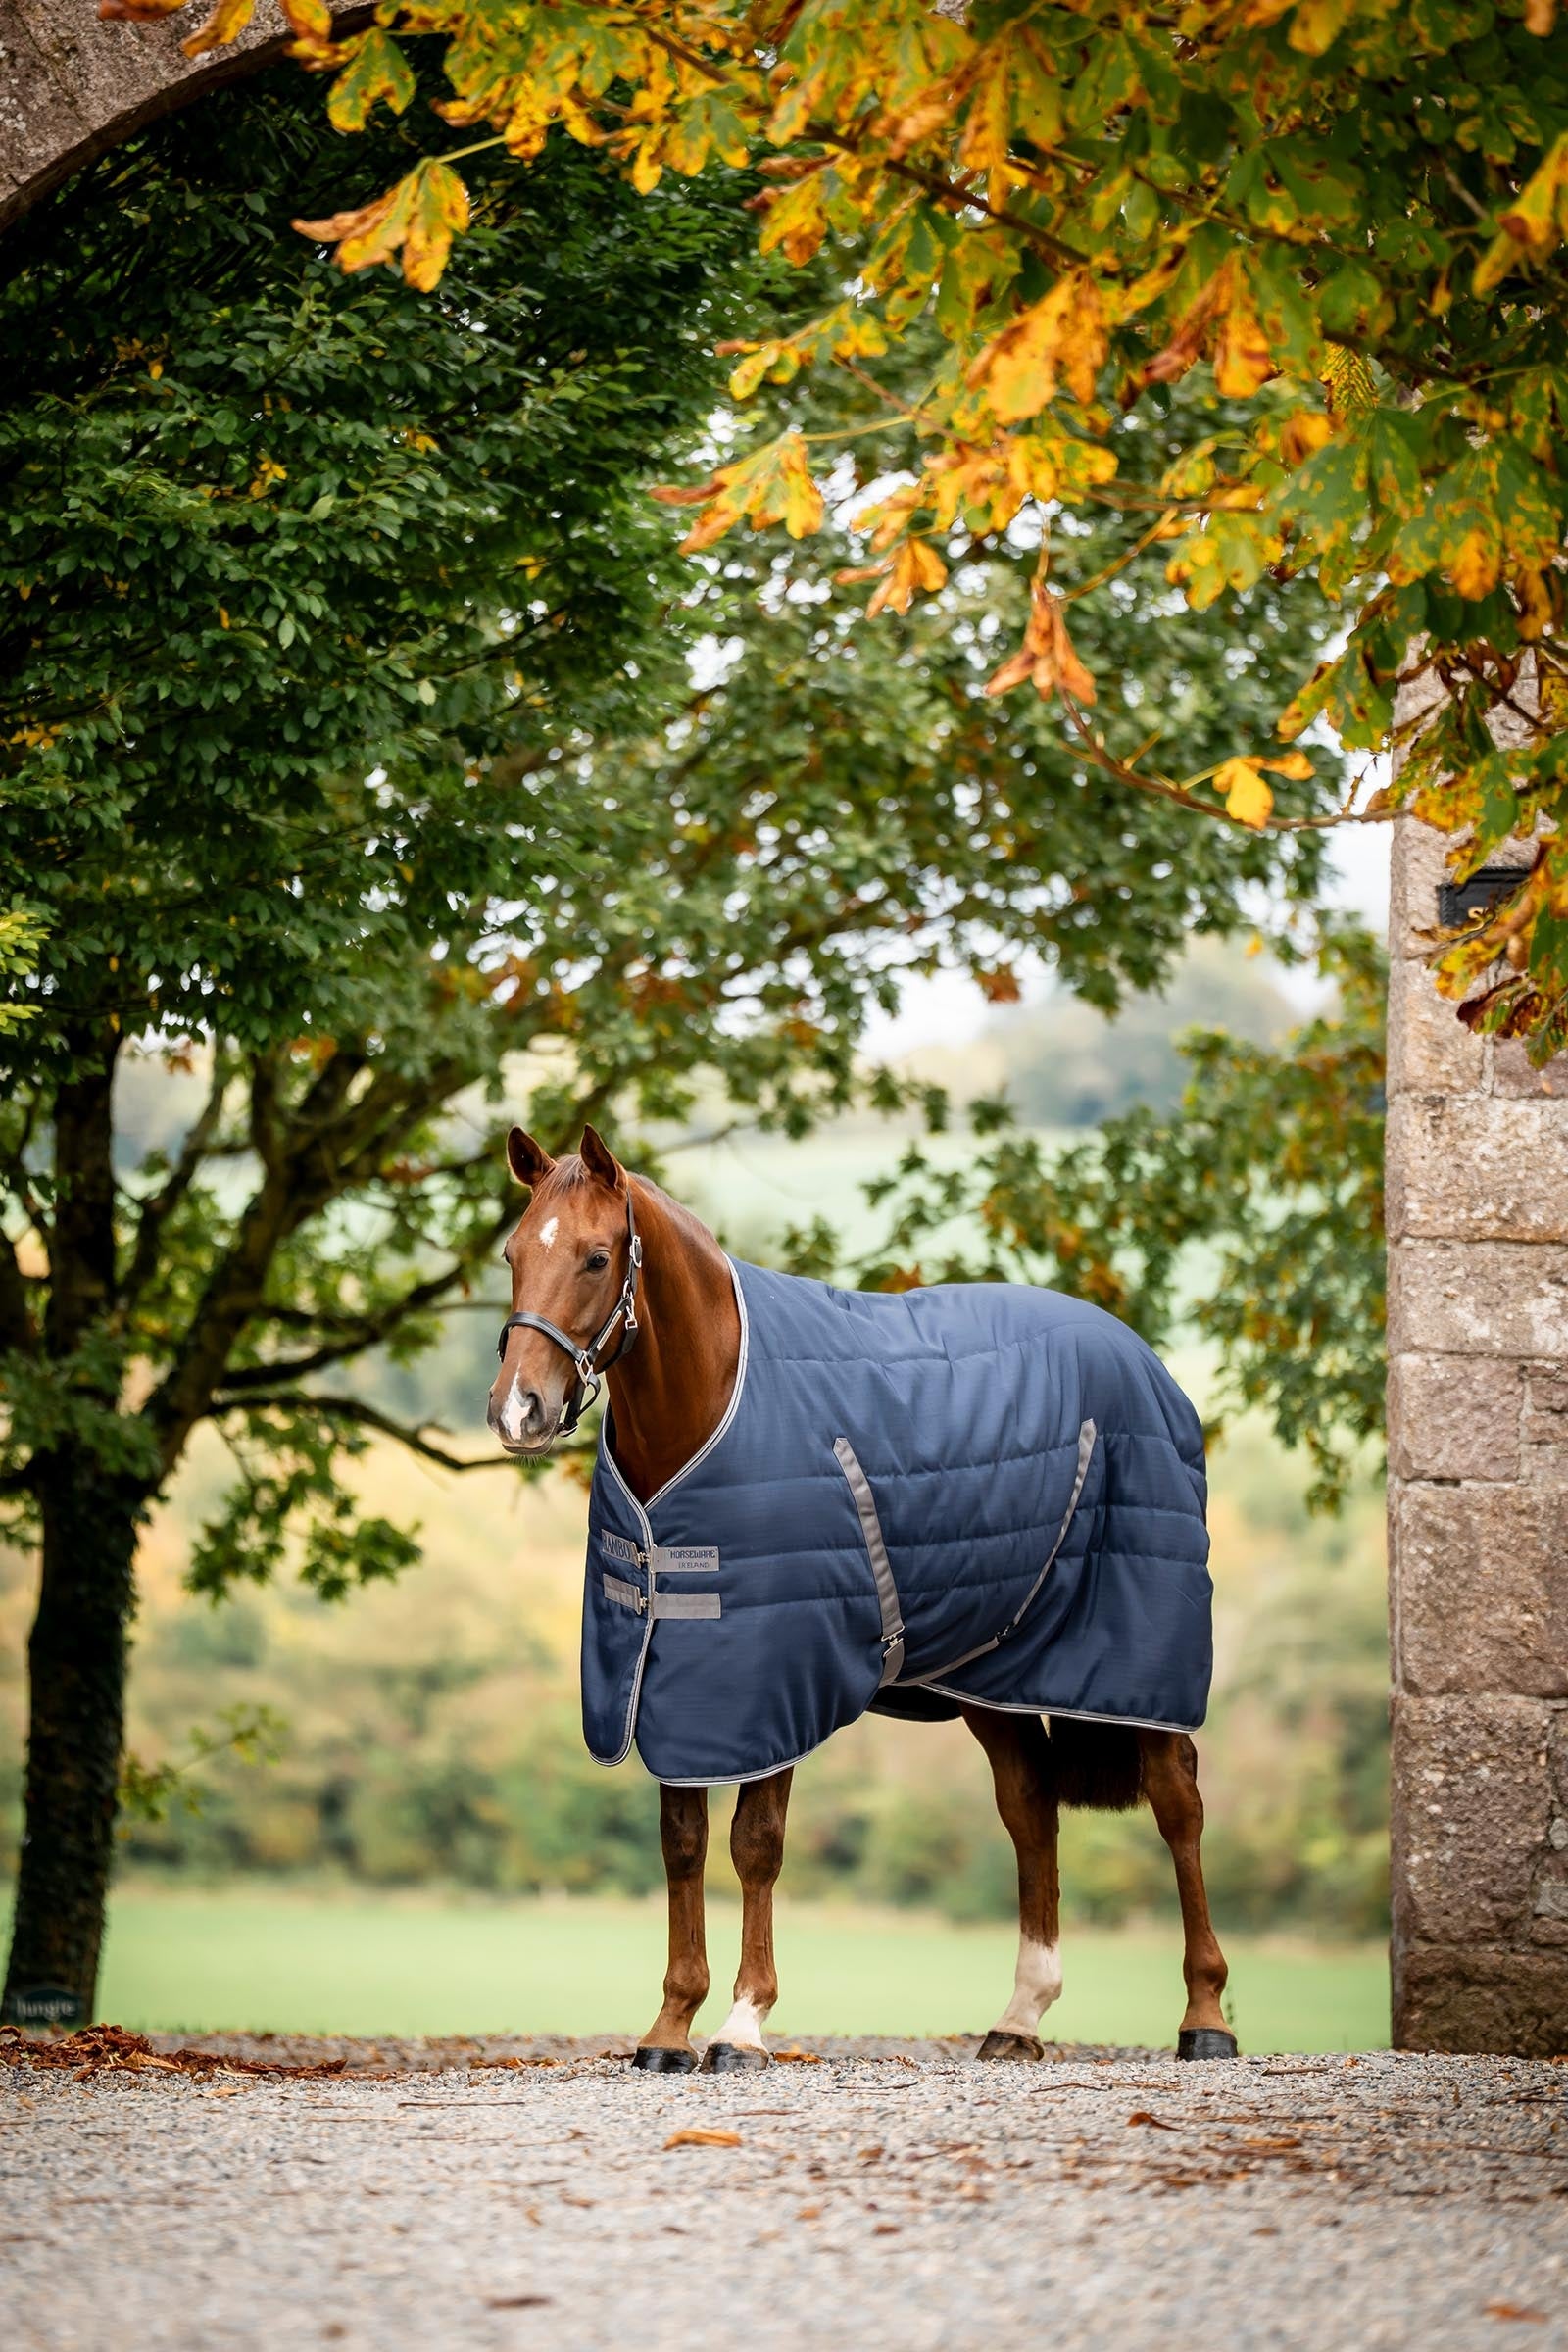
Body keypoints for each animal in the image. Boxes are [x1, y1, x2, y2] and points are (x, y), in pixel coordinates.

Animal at [488, 1124, 1235, 2073]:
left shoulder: (768, 1680)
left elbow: (755, 1846)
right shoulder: (675, 1676)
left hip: (1141, 1660)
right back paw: (1020, 2016)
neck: (713, 1400)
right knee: (1031, 1811)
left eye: (594, 1256)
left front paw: (742, 2026)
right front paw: (668, 2027)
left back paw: (1206, 2016)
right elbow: (682, 1844)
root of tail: (1144, 1360)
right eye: (514, 1253)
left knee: (1180, 1806)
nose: (518, 1410)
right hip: (992, 1673)